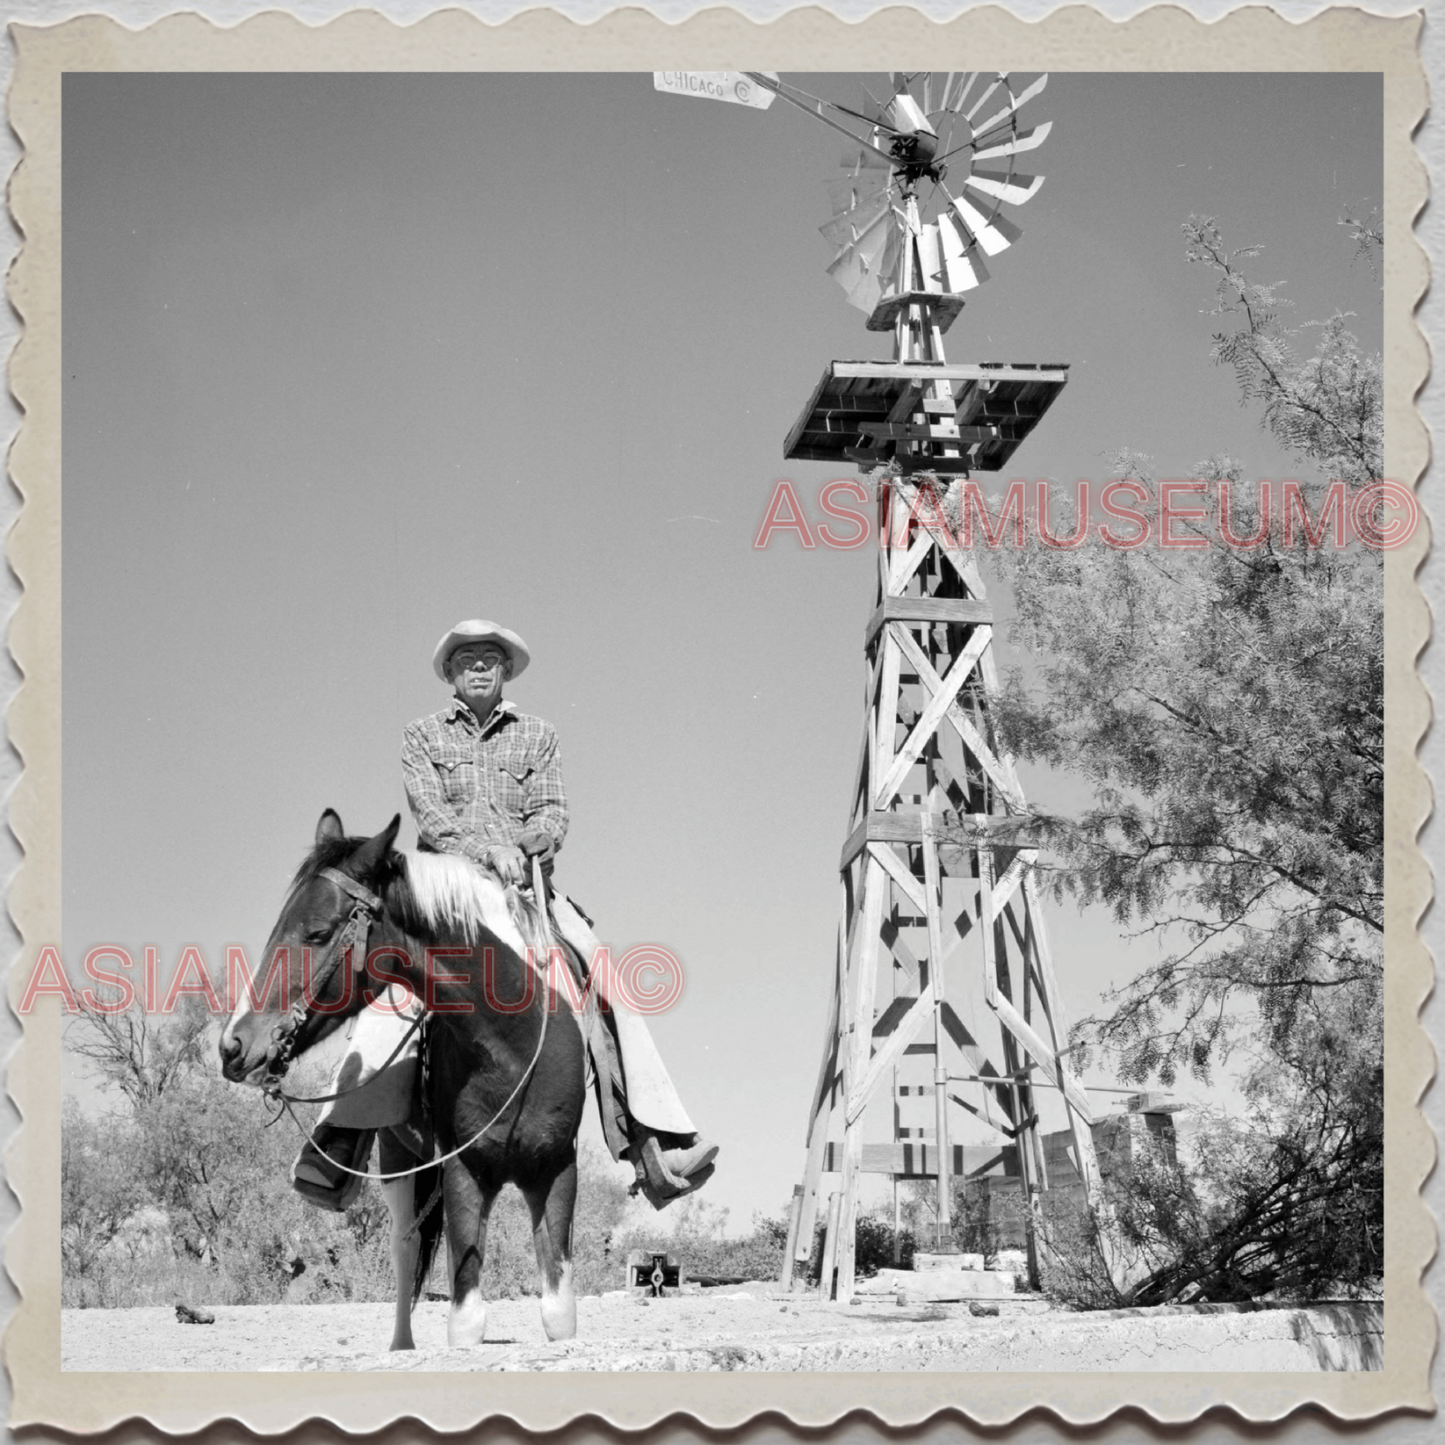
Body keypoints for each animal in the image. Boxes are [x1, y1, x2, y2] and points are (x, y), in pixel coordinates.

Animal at [218, 809, 586, 1346]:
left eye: (317, 932)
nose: (234, 1045)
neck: (511, 1049)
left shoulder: (556, 1169)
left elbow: (559, 1315)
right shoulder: (463, 1172)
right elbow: (465, 1320)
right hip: (399, 1163)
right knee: (404, 1246)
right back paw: (401, 1345)